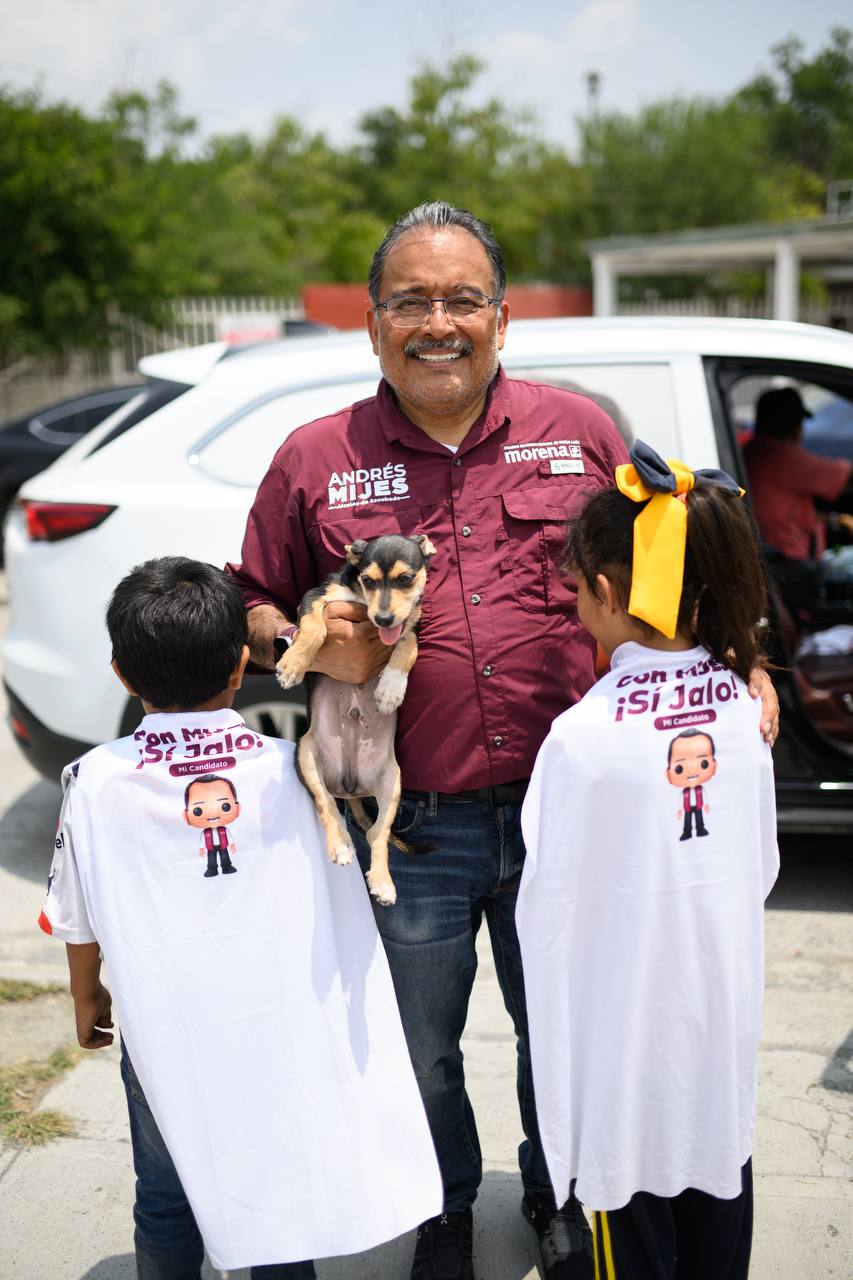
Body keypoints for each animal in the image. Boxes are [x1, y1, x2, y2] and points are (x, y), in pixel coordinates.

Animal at [275, 535, 435, 906]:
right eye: (367, 580)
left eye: (406, 579)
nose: (384, 618)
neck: (362, 602)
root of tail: (350, 787)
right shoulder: (317, 597)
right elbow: (314, 626)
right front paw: (294, 664)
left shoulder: (412, 620)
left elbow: (409, 645)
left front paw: (391, 688)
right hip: (306, 755)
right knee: (328, 807)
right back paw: (341, 846)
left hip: (392, 783)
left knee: (377, 833)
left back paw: (383, 882)